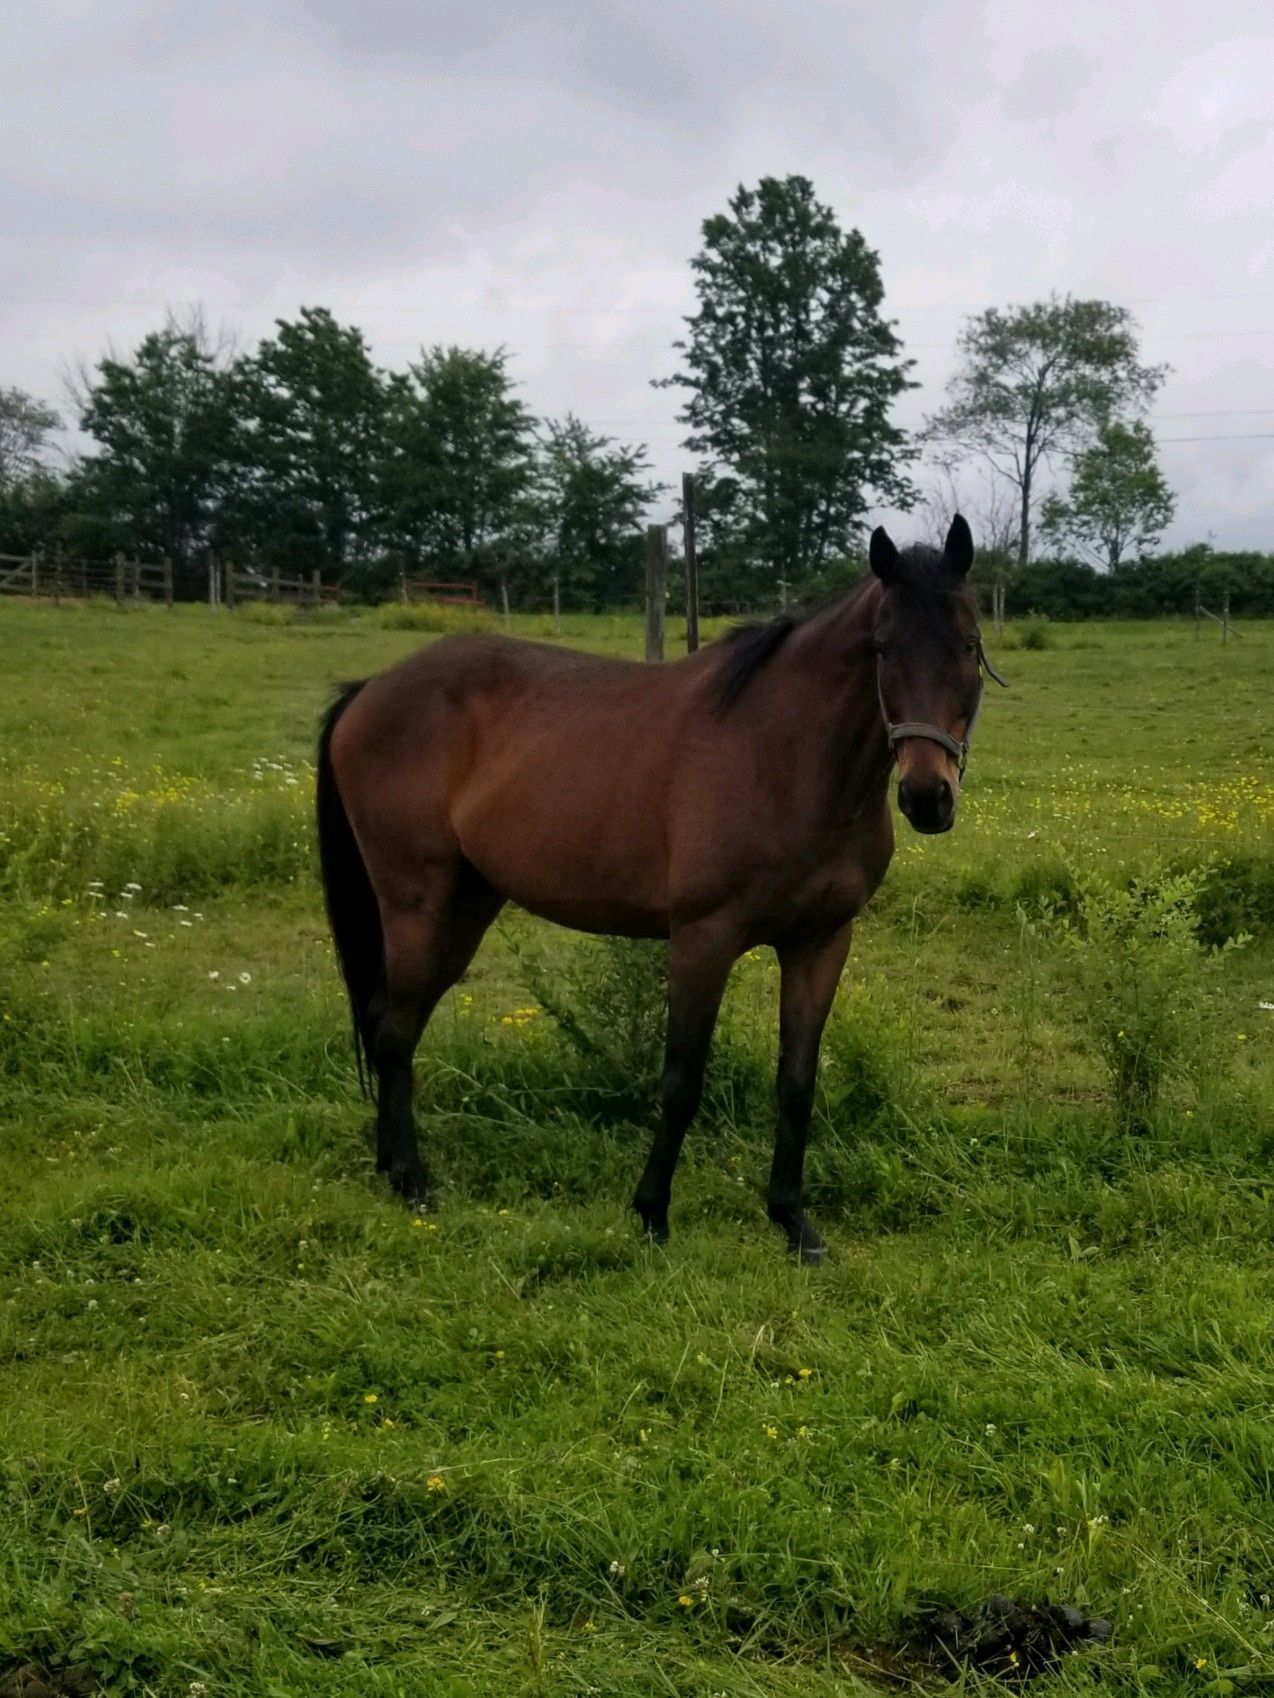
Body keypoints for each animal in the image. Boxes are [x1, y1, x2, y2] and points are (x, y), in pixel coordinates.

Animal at [316, 515, 1004, 1261]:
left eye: (968, 645)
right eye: (882, 648)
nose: (927, 797)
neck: (786, 758)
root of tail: (370, 689)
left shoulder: (821, 942)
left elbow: (797, 1082)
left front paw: (793, 1222)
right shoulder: (703, 938)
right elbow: (681, 1079)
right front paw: (651, 1214)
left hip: (466, 907)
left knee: (390, 1022)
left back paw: (390, 1166)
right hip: (419, 906)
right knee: (393, 1033)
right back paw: (413, 1182)